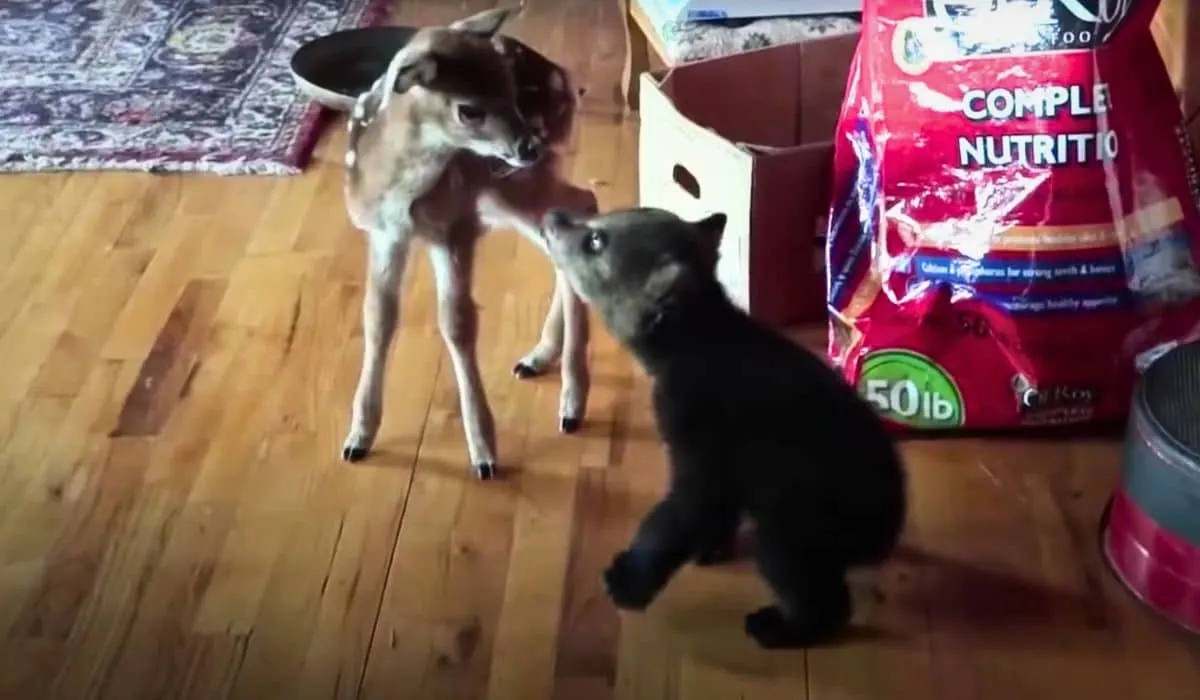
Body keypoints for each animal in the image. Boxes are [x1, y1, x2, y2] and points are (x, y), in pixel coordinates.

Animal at [343, 5, 595, 480]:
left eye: (509, 88)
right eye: (469, 110)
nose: (527, 147)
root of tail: (565, 79)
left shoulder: (455, 227)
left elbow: (457, 323)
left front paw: (484, 453)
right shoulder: (384, 233)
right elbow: (378, 317)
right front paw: (358, 438)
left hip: (510, 185)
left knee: (584, 205)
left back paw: (571, 400)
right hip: (503, 193)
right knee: (569, 225)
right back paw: (540, 359)